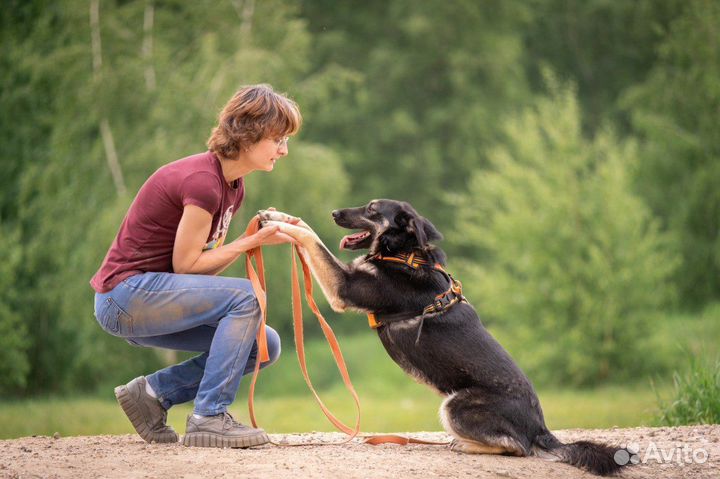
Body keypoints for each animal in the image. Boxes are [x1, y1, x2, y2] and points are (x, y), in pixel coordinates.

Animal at [258, 200, 624, 476]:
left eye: (373, 209)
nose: (334, 212)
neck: (404, 252)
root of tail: (542, 429)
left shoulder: (342, 288)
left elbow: (311, 237)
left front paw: (279, 224)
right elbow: (308, 231)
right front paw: (279, 216)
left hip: (454, 405)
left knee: (517, 448)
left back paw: (466, 444)